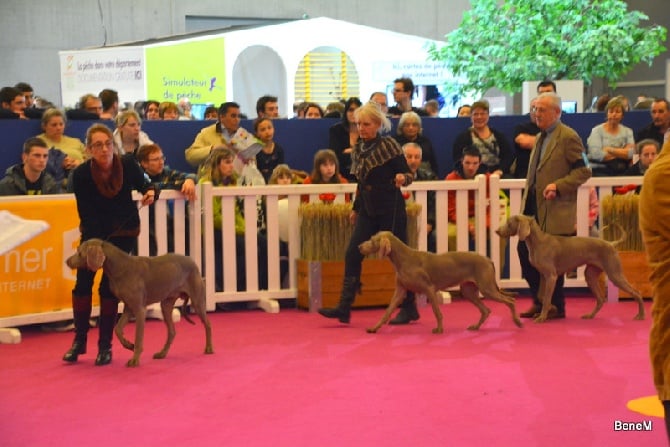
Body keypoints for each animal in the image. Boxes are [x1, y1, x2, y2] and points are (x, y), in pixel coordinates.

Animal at [65, 240, 213, 370]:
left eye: (79, 252)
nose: (67, 261)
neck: (120, 267)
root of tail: (193, 262)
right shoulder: (128, 308)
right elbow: (117, 329)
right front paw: (128, 345)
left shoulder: (139, 309)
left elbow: (138, 337)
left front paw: (134, 359)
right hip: (166, 305)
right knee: (172, 331)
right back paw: (162, 353)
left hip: (197, 301)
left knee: (208, 324)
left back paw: (209, 348)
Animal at [360, 233, 524, 334]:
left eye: (372, 240)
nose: (359, 246)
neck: (403, 259)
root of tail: (488, 259)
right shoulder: (400, 291)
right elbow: (387, 312)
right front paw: (374, 328)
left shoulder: (429, 289)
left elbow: (436, 312)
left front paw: (439, 329)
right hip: (469, 291)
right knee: (486, 310)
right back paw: (476, 326)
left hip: (487, 288)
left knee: (510, 300)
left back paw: (517, 322)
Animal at [498, 215, 644, 324]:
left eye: (509, 223)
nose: (497, 231)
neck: (537, 242)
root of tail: (611, 243)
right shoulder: (544, 276)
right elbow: (541, 296)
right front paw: (551, 309)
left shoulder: (551, 276)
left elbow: (546, 298)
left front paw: (542, 316)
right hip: (590, 275)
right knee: (601, 299)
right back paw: (590, 315)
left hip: (615, 274)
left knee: (637, 292)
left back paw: (641, 315)